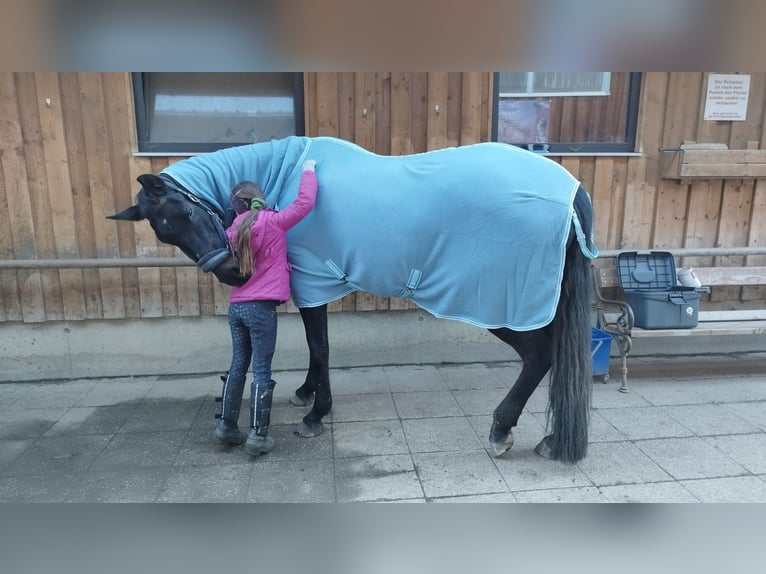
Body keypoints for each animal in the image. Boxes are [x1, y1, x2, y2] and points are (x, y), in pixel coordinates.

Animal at [109, 137, 600, 466]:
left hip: (507, 306)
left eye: (189, 211)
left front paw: (315, 415)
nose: (233, 273)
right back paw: (550, 440)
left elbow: (320, 346)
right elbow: (316, 350)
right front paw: (305, 395)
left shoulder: (314, 282)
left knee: (539, 356)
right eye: (166, 233)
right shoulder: (316, 284)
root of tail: (571, 189)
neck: (285, 178)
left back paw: (501, 430)